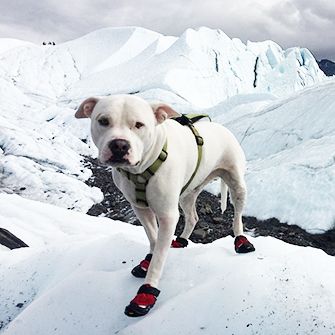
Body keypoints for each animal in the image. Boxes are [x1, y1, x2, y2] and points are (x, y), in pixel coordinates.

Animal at [75, 94, 255, 318]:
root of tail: (222, 127)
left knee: (237, 215)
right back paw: (181, 240)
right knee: (193, 216)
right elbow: (153, 239)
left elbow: (159, 258)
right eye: (103, 121)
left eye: (139, 124)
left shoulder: (167, 215)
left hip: (236, 183)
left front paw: (146, 293)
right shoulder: (141, 209)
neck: (141, 168)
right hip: (188, 192)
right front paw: (149, 259)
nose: (119, 145)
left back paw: (241, 241)